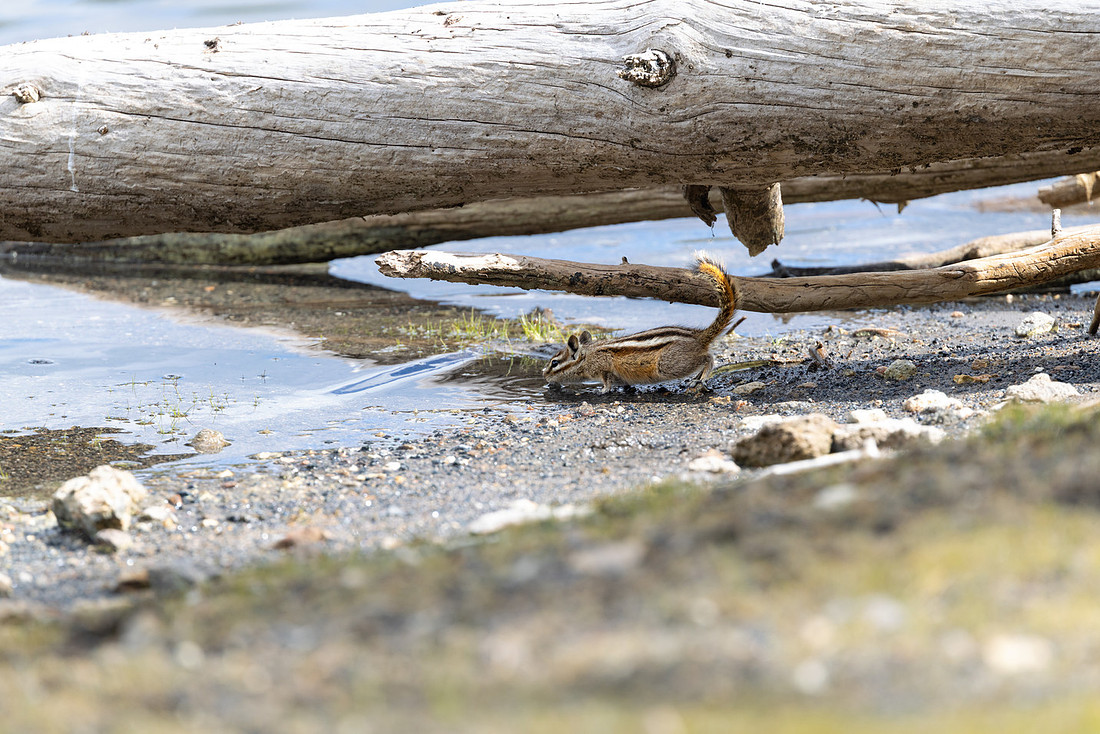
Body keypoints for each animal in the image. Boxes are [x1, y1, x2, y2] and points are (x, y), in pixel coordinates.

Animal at [543, 254, 739, 392]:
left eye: (554, 363)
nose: (544, 375)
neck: (588, 356)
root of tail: (698, 337)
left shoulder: (604, 367)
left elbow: (607, 380)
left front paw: (603, 390)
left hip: (669, 365)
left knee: (709, 358)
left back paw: (702, 376)